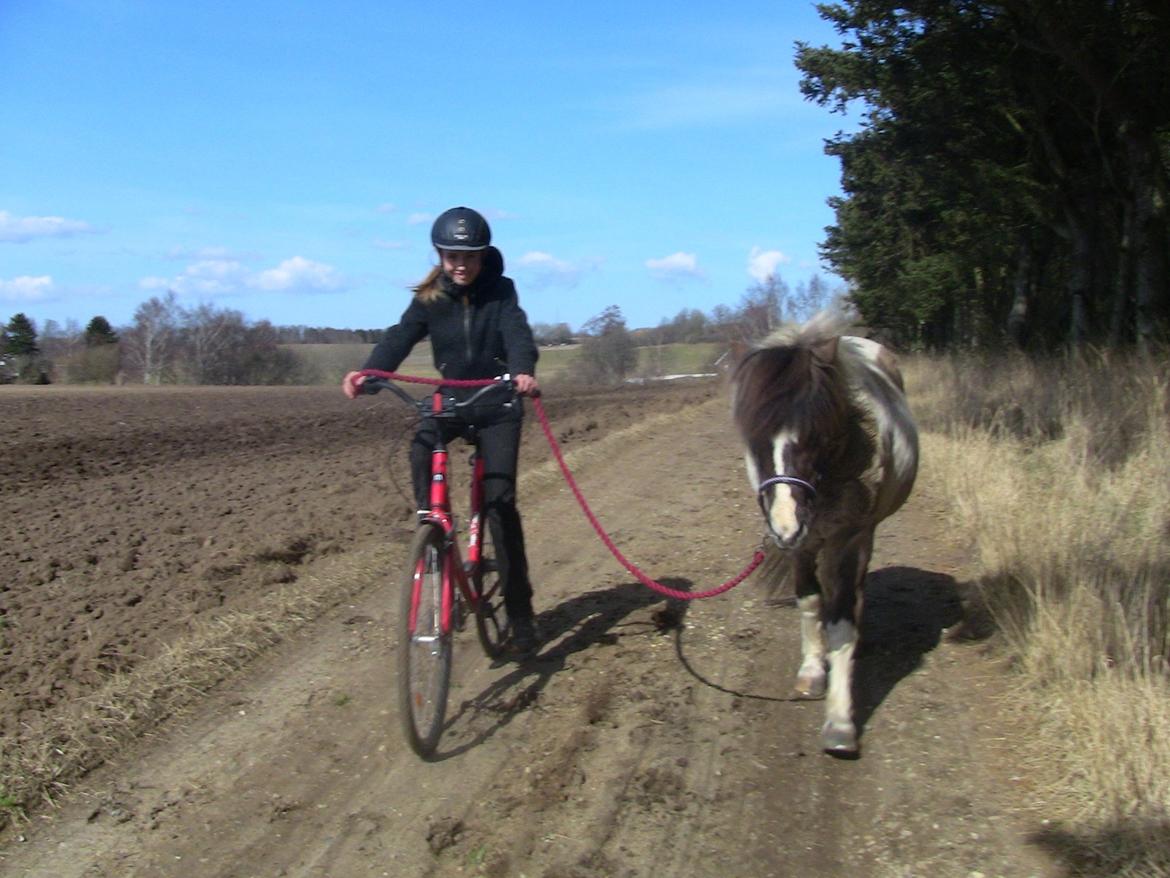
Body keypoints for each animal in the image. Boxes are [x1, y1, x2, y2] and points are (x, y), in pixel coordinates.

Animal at [730, 313, 912, 758]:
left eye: (815, 435)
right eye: (754, 439)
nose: (784, 525)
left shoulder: (846, 536)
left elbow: (842, 621)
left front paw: (840, 722)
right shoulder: (803, 544)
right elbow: (810, 600)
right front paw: (813, 669)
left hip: (862, 534)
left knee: (853, 588)